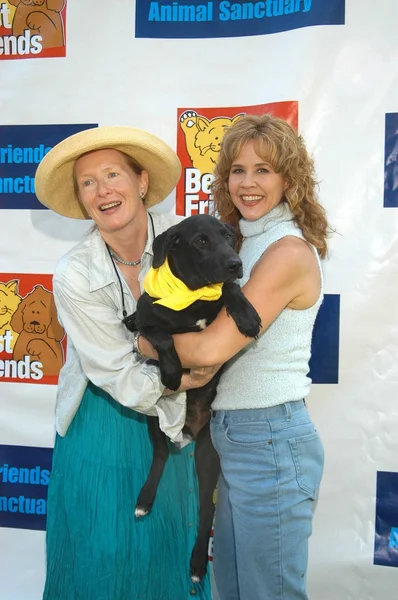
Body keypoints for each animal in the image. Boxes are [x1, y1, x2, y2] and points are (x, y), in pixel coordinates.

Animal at [124, 214, 262, 580]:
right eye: (200, 241)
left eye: (227, 235)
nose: (236, 263)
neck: (192, 295)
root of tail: (189, 428)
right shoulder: (148, 321)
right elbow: (161, 335)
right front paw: (172, 371)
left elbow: (229, 289)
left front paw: (246, 313)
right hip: (154, 421)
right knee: (159, 456)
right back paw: (144, 500)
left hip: (207, 454)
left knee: (205, 512)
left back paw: (198, 562)